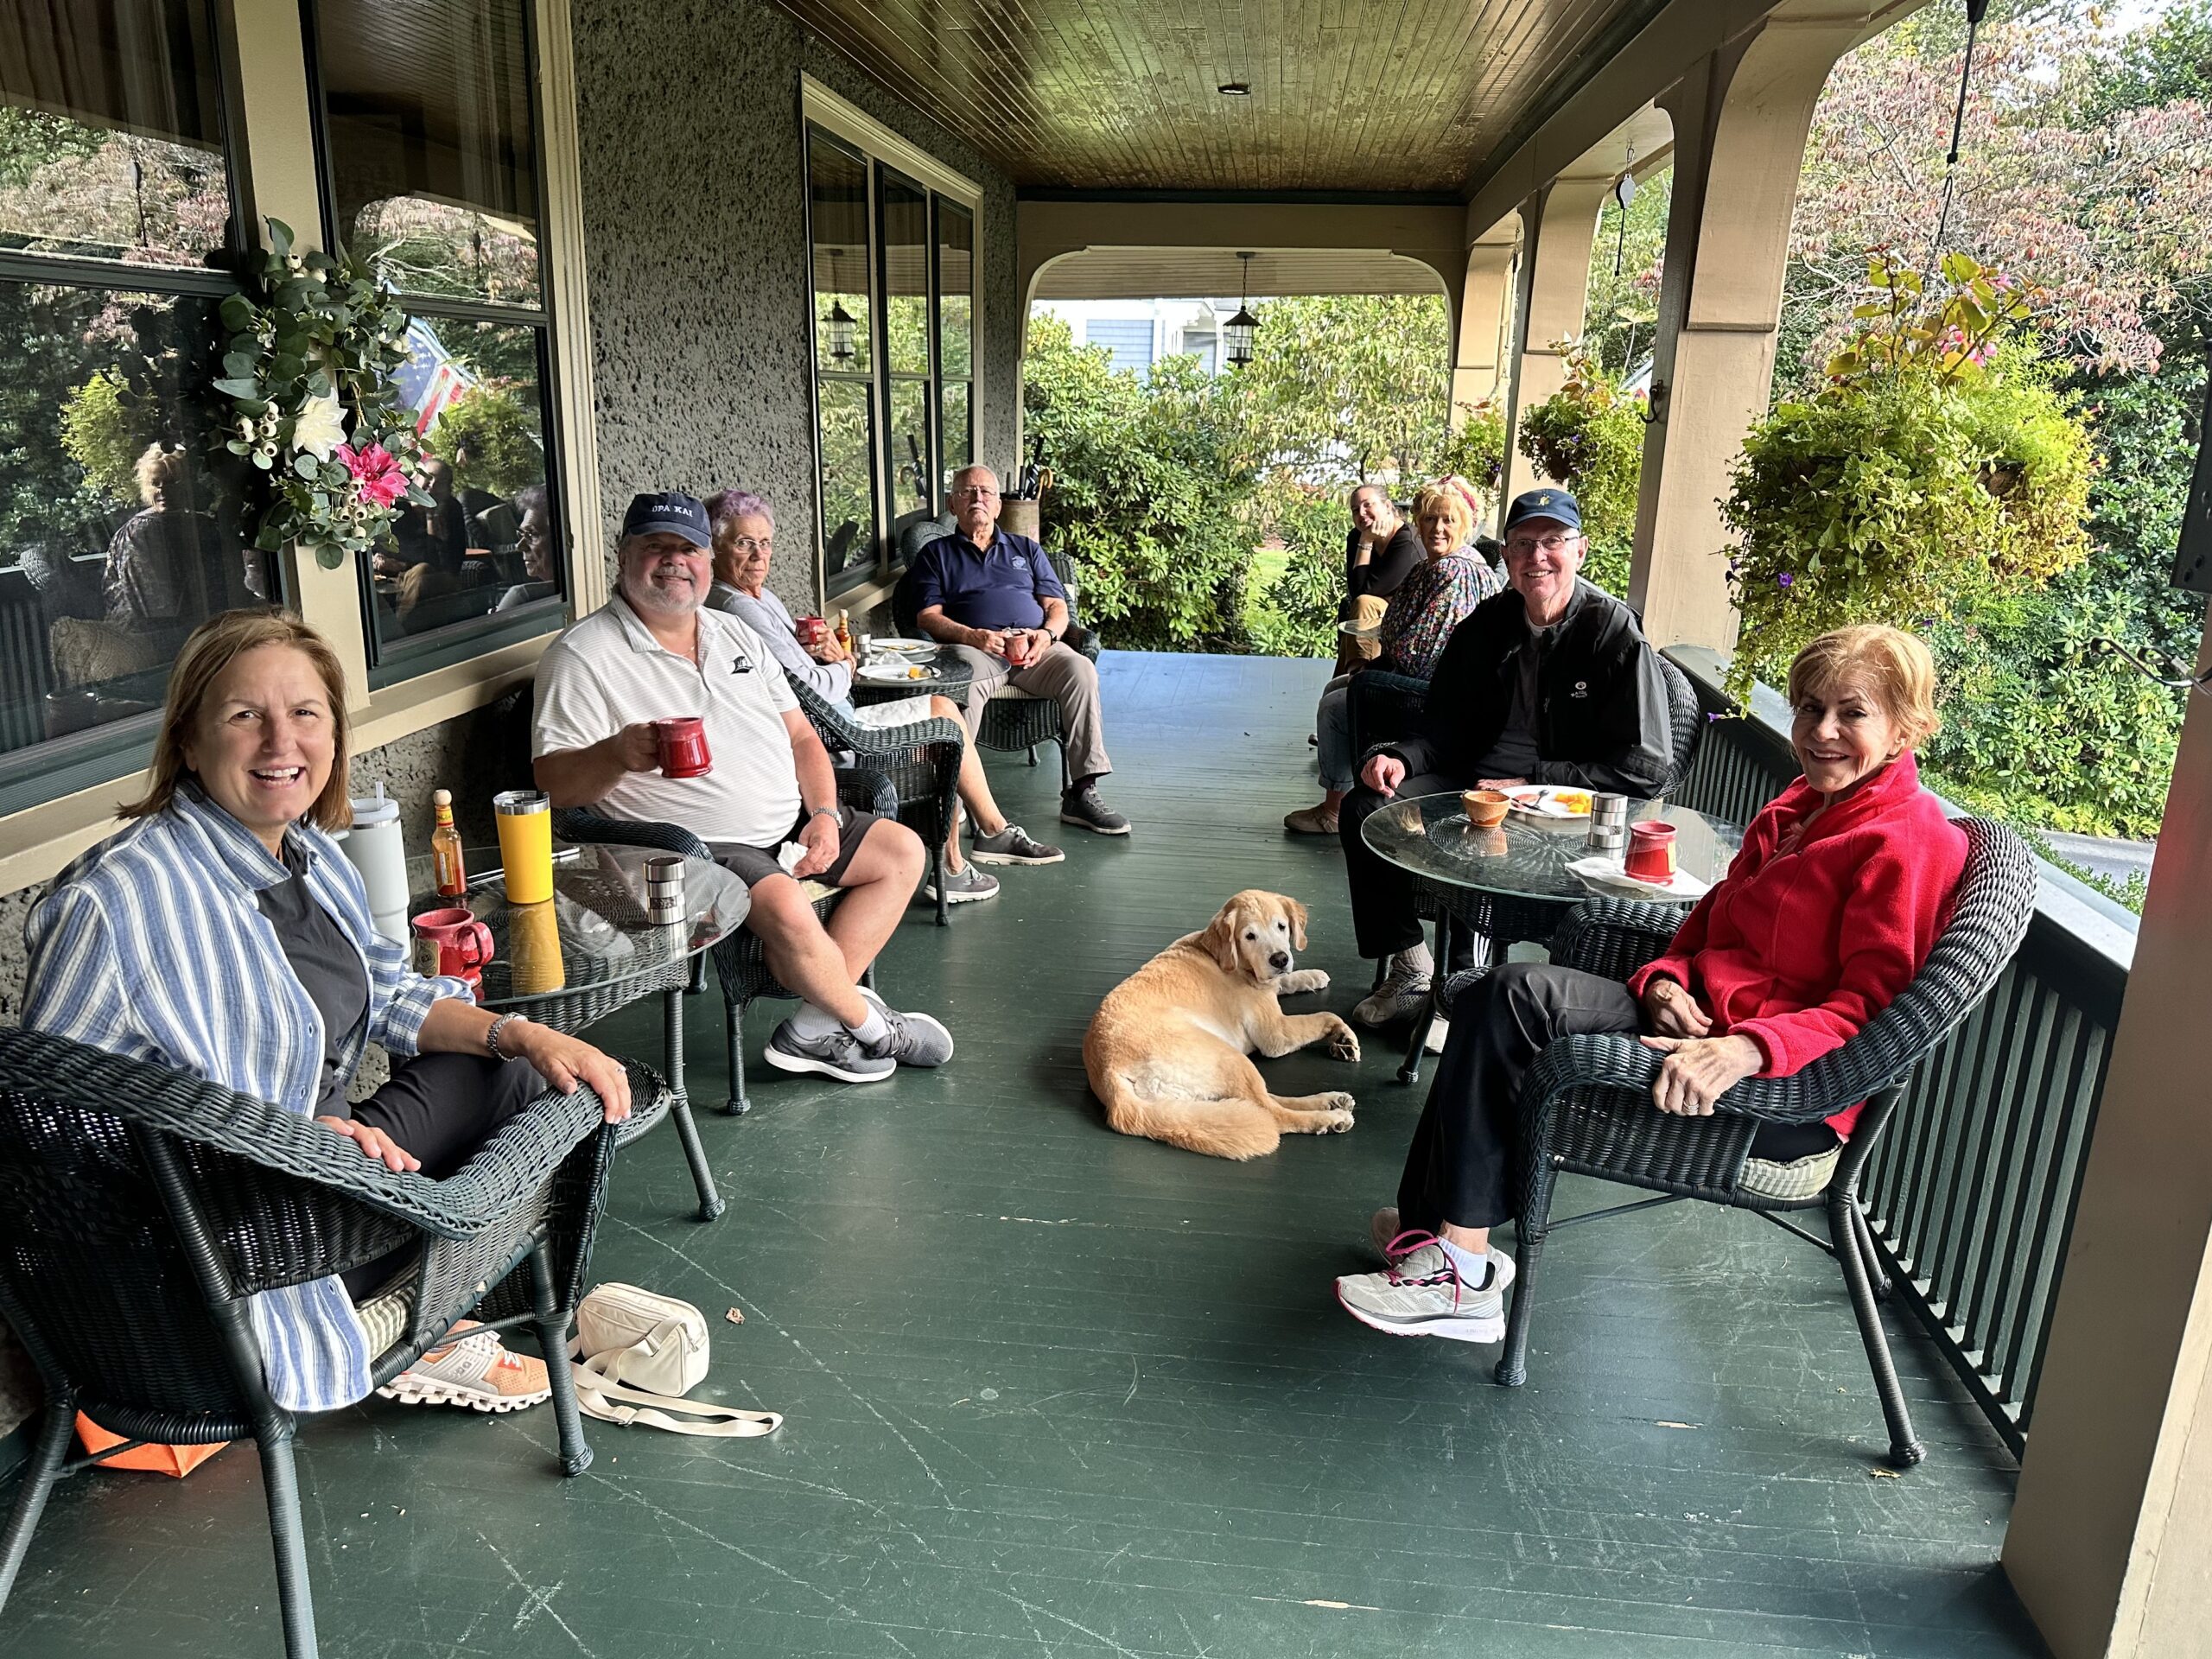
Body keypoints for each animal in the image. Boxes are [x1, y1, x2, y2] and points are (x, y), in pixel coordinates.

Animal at [1079, 898, 1353, 1159]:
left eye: (1281, 926)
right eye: (1250, 936)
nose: (1280, 959)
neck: (1225, 957)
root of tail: (1109, 1074)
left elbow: (1285, 980)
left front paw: (1311, 976)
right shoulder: (1276, 1034)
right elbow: (1323, 1016)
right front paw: (1342, 1031)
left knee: (1263, 1100)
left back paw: (1330, 1101)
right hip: (1230, 1058)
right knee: (1272, 1113)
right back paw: (1330, 1118)